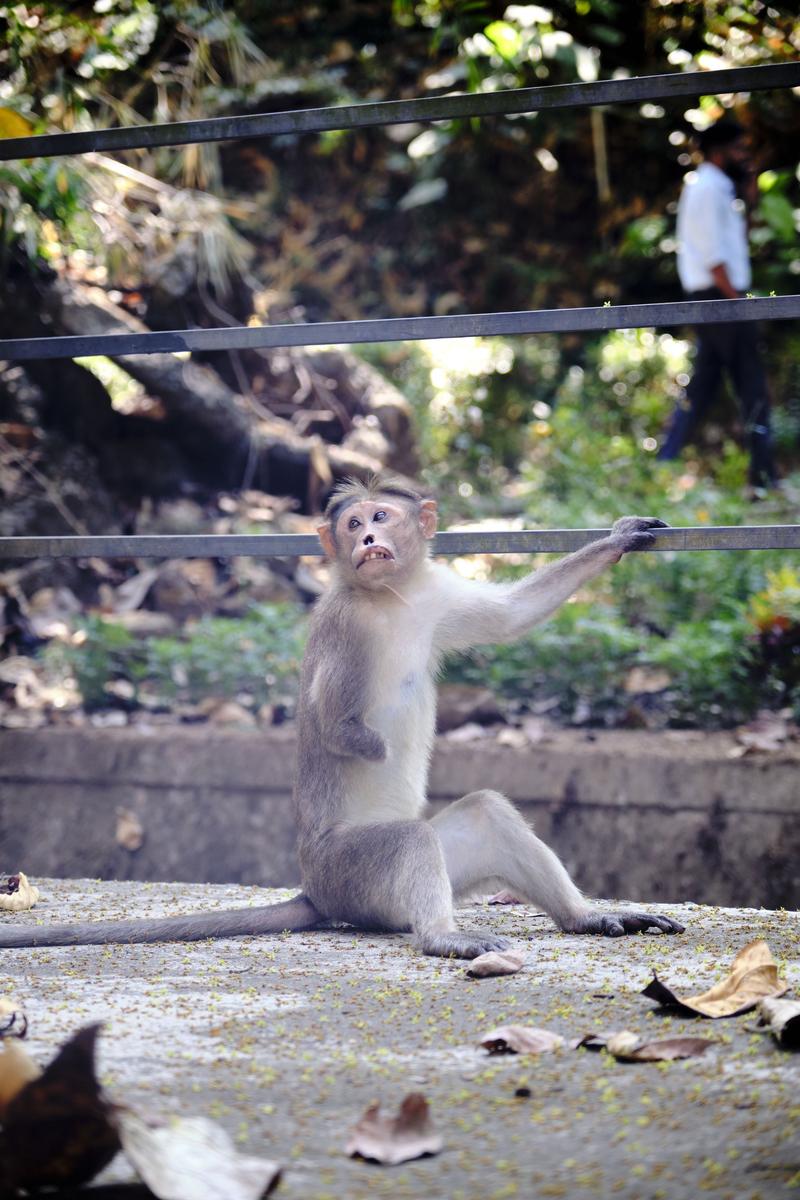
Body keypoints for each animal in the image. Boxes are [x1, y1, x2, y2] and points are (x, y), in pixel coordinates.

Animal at [0, 477, 686, 955]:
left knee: (485, 816)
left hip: (412, 872)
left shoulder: (434, 596)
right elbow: (333, 725)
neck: (391, 600)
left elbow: (511, 616)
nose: (368, 541)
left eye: (381, 517)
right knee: (408, 841)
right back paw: (441, 936)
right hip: (351, 874)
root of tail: (314, 886)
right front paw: (372, 745)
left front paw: (619, 539)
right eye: (353, 523)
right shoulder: (345, 626)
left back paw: (585, 917)